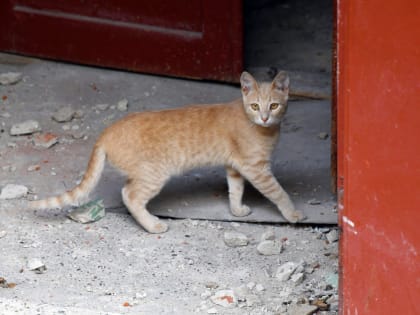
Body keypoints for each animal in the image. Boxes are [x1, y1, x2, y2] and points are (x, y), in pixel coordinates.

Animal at [30, 72, 306, 235]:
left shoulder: (235, 167)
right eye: (256, 106)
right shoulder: (256, 168)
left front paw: (236, 210)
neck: (263, 129)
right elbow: (279, 193)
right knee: (130, 195)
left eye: (274, 105)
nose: (265, 117)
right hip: (154, 174)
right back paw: (153, 225)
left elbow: (235, 190)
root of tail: (106, 131)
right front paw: (292, 213)